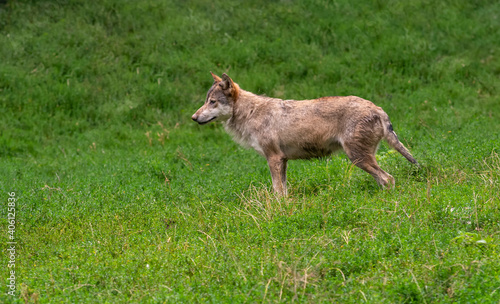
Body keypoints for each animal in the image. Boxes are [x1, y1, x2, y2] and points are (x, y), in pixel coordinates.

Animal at [191, 72, 418, 196]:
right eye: (206, 101)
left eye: (212, 102)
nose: (193, 117)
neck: (251, 113)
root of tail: (377, 108)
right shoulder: (282, 161)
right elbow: (282, 191)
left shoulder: (274, 159)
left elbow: (277, 192)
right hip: (361, 160)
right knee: (384, 180)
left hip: (357, 158)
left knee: (388, 179)